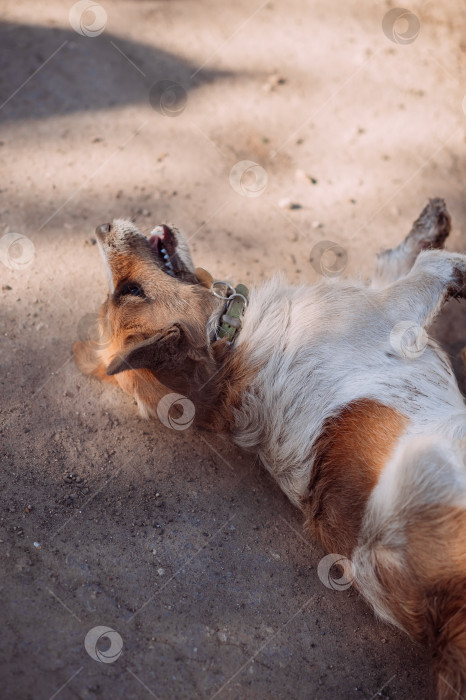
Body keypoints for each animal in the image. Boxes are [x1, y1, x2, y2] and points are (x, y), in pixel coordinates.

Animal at [73, 200, 466, 696]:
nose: (100, 226)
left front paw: (428, 225)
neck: (228, 348)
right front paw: (452, 261)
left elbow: (391, 262)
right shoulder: (389, 310)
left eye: (127, 292)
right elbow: (427, 268)